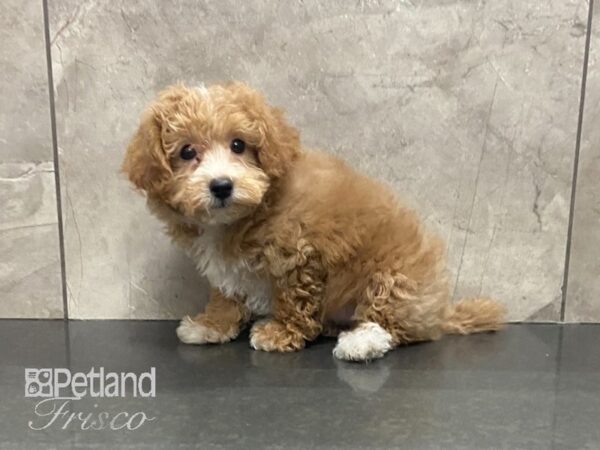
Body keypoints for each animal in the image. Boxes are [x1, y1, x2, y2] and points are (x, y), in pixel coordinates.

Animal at [123, 81, 506, 362]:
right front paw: (211, 325)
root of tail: (439, 311)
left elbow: (294, 299)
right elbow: (226, 294)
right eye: (187, 152)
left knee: (391, 324)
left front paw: (281, 333)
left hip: (395, 280)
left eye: (239, 145)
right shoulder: (228, 267)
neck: (248, 213)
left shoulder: (299, 256)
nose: (221, 185)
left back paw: (360, 342)